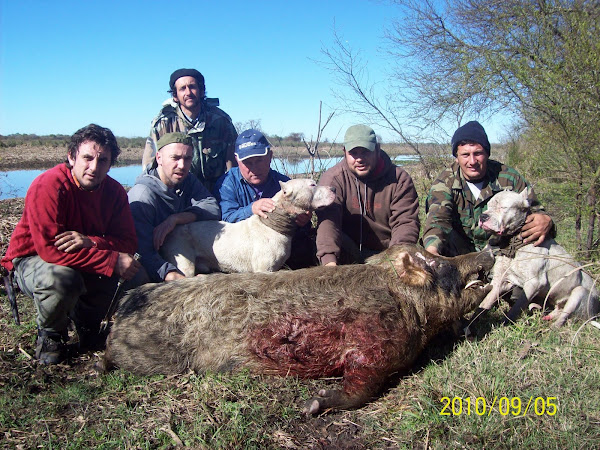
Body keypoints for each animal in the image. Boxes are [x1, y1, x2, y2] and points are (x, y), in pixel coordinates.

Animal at [159, 178, 336, 276]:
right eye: (312, 185)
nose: (333, 188)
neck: (272, 225)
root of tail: (170, 232)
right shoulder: (263, 269)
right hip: (184, 264)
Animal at [476, 187, 596, 326]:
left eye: (503, 207)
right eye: (488, 206)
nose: (483, 216)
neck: (515, 243)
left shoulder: (534, 283)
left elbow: (515, 309)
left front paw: (505, 323)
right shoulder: (500, 281)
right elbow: (485, 302)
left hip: (579, 292)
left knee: (562, 319)